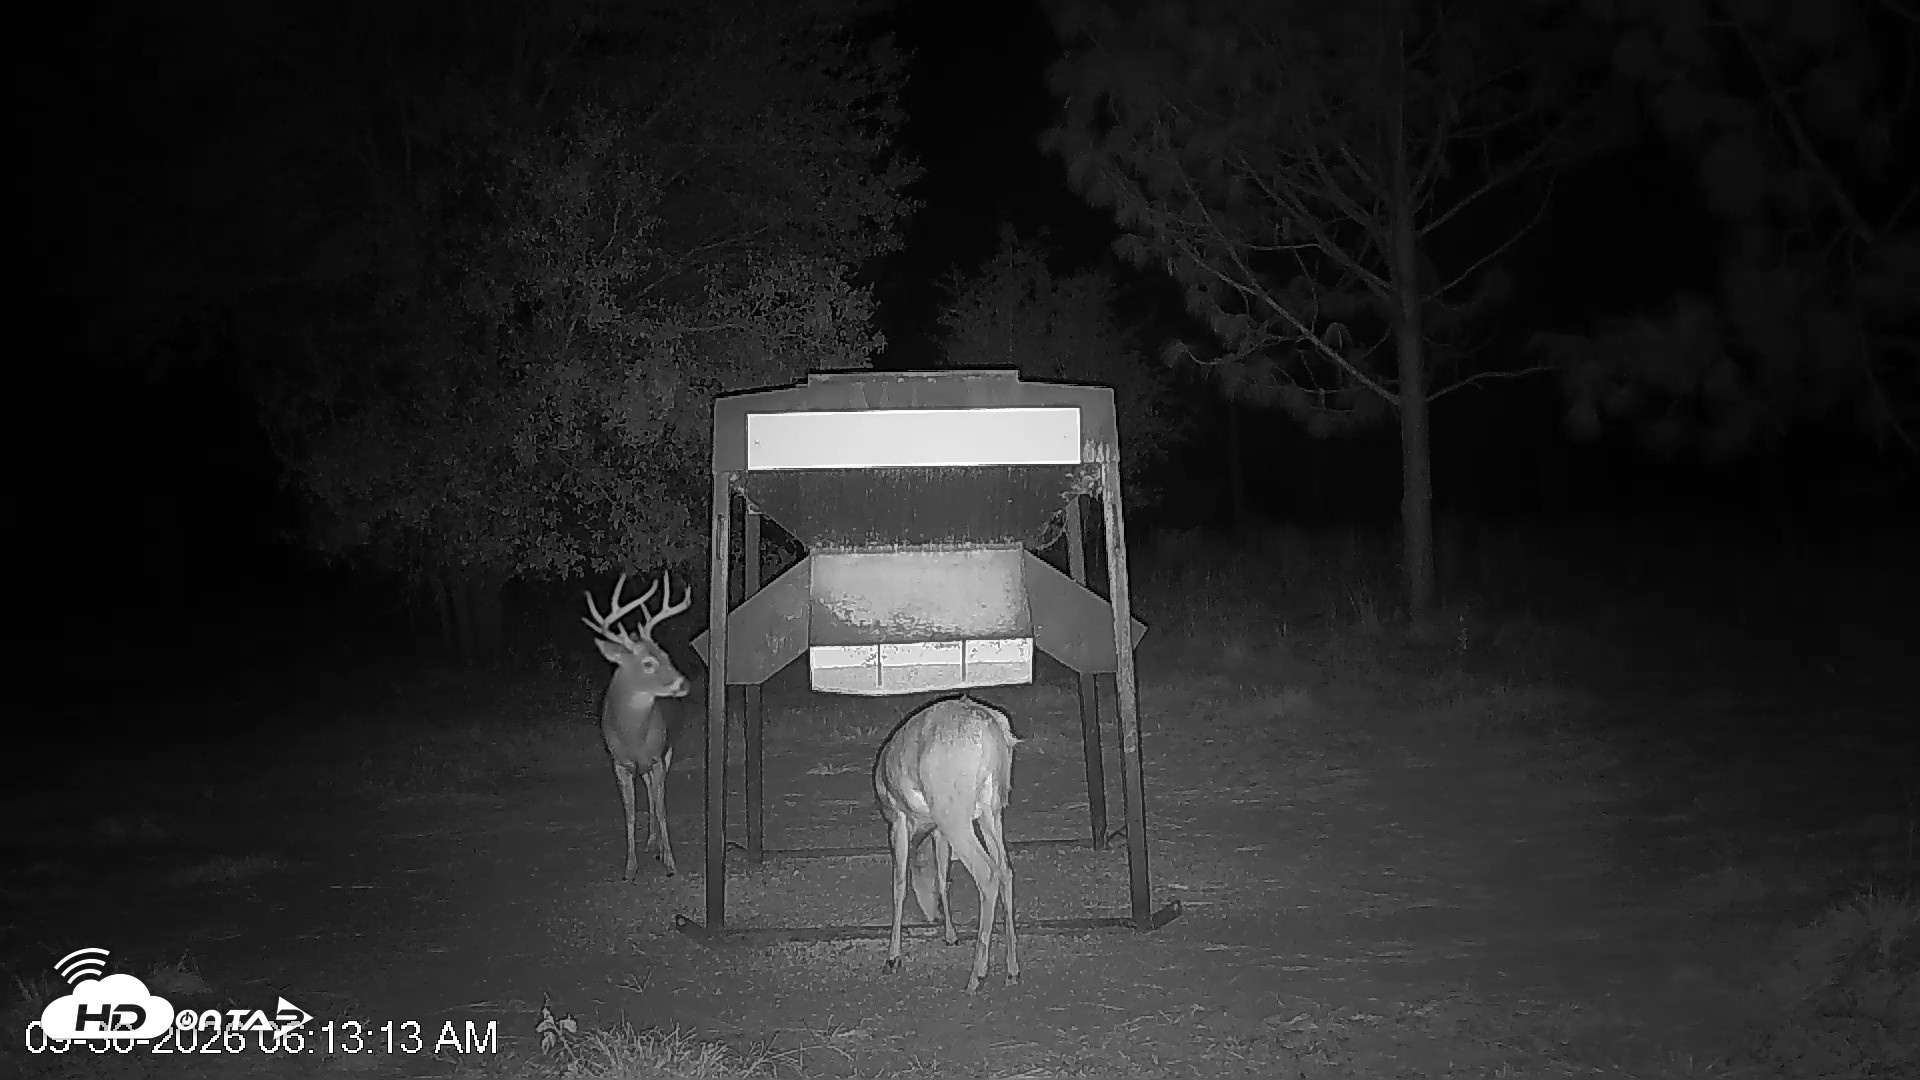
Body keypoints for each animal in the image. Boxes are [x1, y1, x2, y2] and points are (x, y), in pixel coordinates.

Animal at [582, 570, 694, 880]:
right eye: (647, 663)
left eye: (666, 655)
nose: (684, 683)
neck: (633, 735)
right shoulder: (619, 763)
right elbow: (630, 814)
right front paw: (630, 868)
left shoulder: (656, 756)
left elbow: (662, 807)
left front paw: (670, 862)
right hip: (642, 766)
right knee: (648, 793)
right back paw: (651, 842)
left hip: (667, 752)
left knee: (657, 795)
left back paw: (658, 845)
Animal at [873, 694, 1022, 993]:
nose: (932, 915)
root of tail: (993, 730)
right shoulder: (938, 831)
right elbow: (943, 875)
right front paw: (951, 935)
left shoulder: (898, 818)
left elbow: (899, 884)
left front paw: (893, 958)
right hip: (991, 809)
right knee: (1006, 870)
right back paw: (1012, 970)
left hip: (952, 810)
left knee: (988, 873)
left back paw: (977, 976)